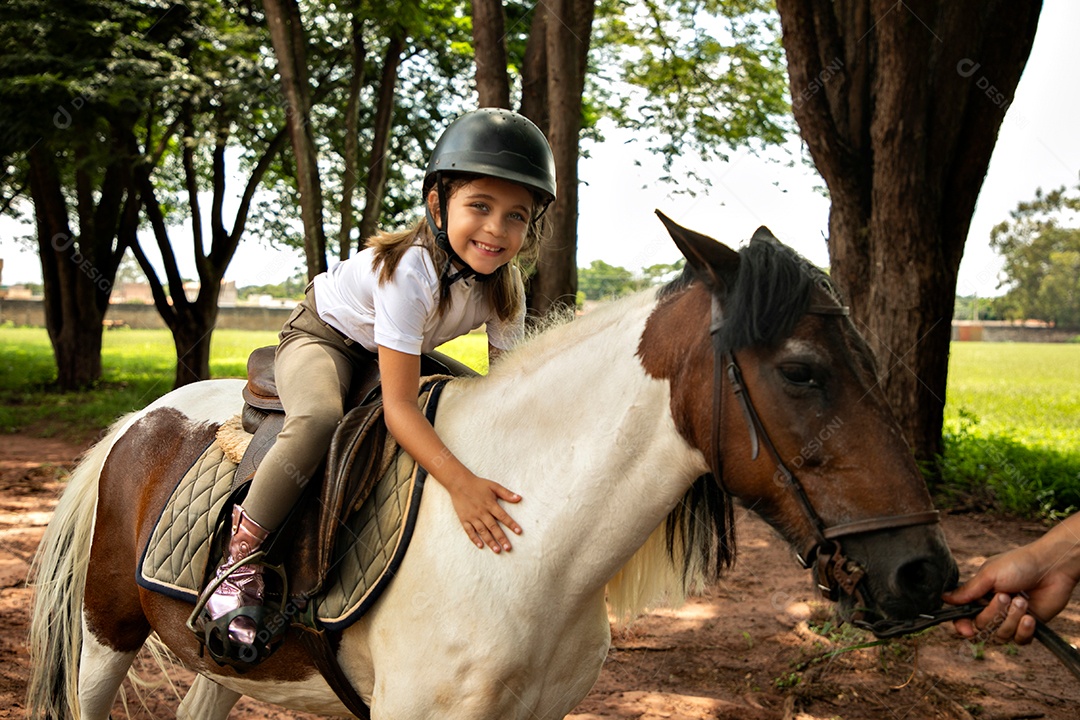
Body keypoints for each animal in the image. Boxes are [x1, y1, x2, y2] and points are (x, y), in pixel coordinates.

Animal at [27, 214, 958, 720]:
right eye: (802, 370)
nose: (925, 572)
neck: (538, 553)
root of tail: (135, 424)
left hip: (225, 661)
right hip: (106, 635)